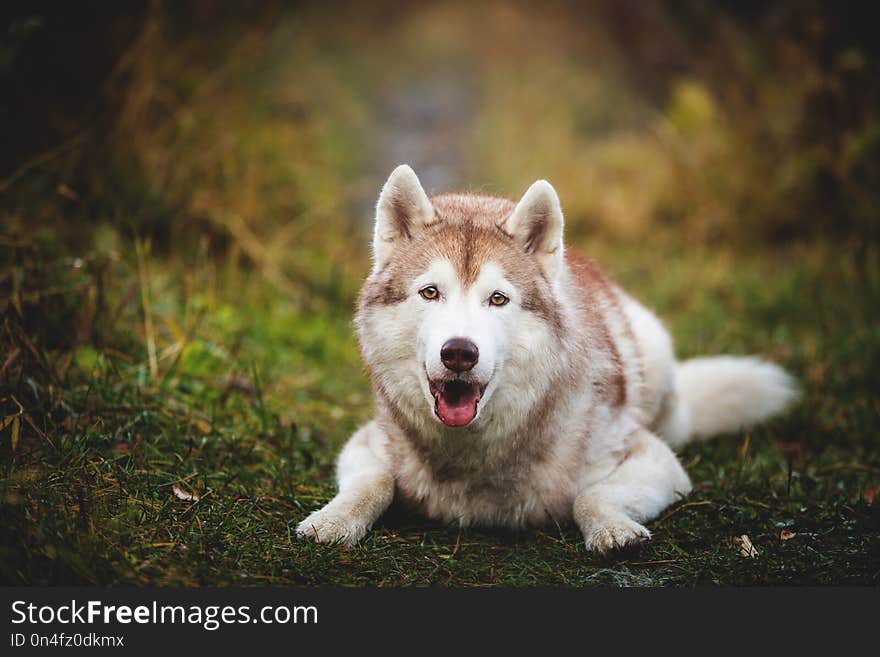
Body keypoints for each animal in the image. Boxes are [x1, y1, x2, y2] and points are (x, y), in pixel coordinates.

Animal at [298, 165, 796, 552]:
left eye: (498, 299)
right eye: (430, 292)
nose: (459, 352)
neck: (473, 455)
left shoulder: (656, 460)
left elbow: (588, 498)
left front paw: (613, 532)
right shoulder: (364, 443)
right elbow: (375, 483)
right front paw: (332, 522)